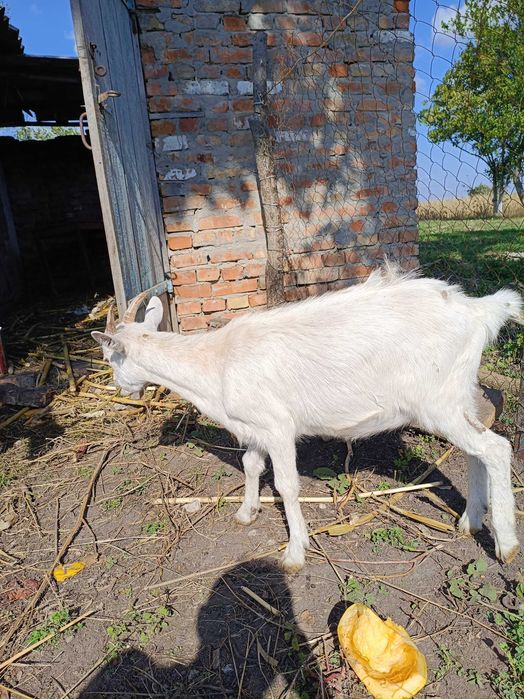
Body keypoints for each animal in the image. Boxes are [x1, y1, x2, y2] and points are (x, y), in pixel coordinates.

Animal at [92, 266, 523, 572]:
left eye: (111, 358)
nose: (119, 390)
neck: (216, 363)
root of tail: (479, 312)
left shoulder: (278, 427)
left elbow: (287, 485)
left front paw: (295, 552)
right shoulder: (255, 426)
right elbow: (250, 465)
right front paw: (246, 513)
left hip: (437, 402)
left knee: (496, 449)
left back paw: (505, 544)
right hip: (458, 395)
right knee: (476, 451)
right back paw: (470, 521)